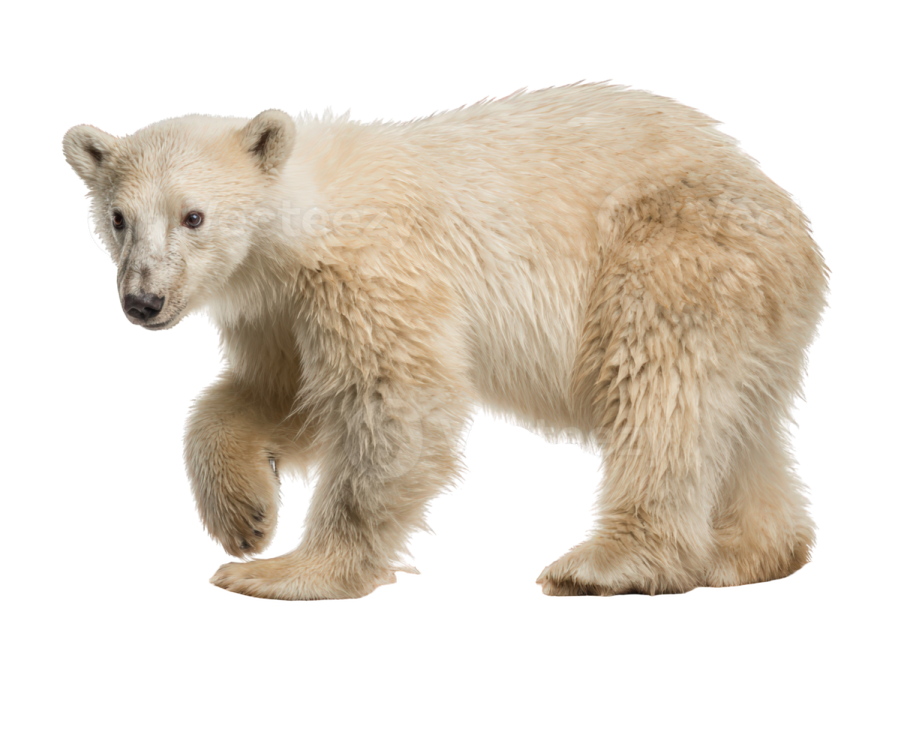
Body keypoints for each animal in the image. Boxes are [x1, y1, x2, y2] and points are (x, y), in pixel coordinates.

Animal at [61, 82, 830, 601]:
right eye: (117, 217)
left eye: (193, 215)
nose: (144, 301)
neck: (308, 210)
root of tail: (780, 201)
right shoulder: (275, 306)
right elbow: (275, 396)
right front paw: (243, 520)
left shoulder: (371, 266)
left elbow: (394, 398)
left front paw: (290, 573)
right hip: (757, 304)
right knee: (744, 418)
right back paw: (742, 555)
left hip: (675, 244)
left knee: (661, 385)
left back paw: (605, 565)